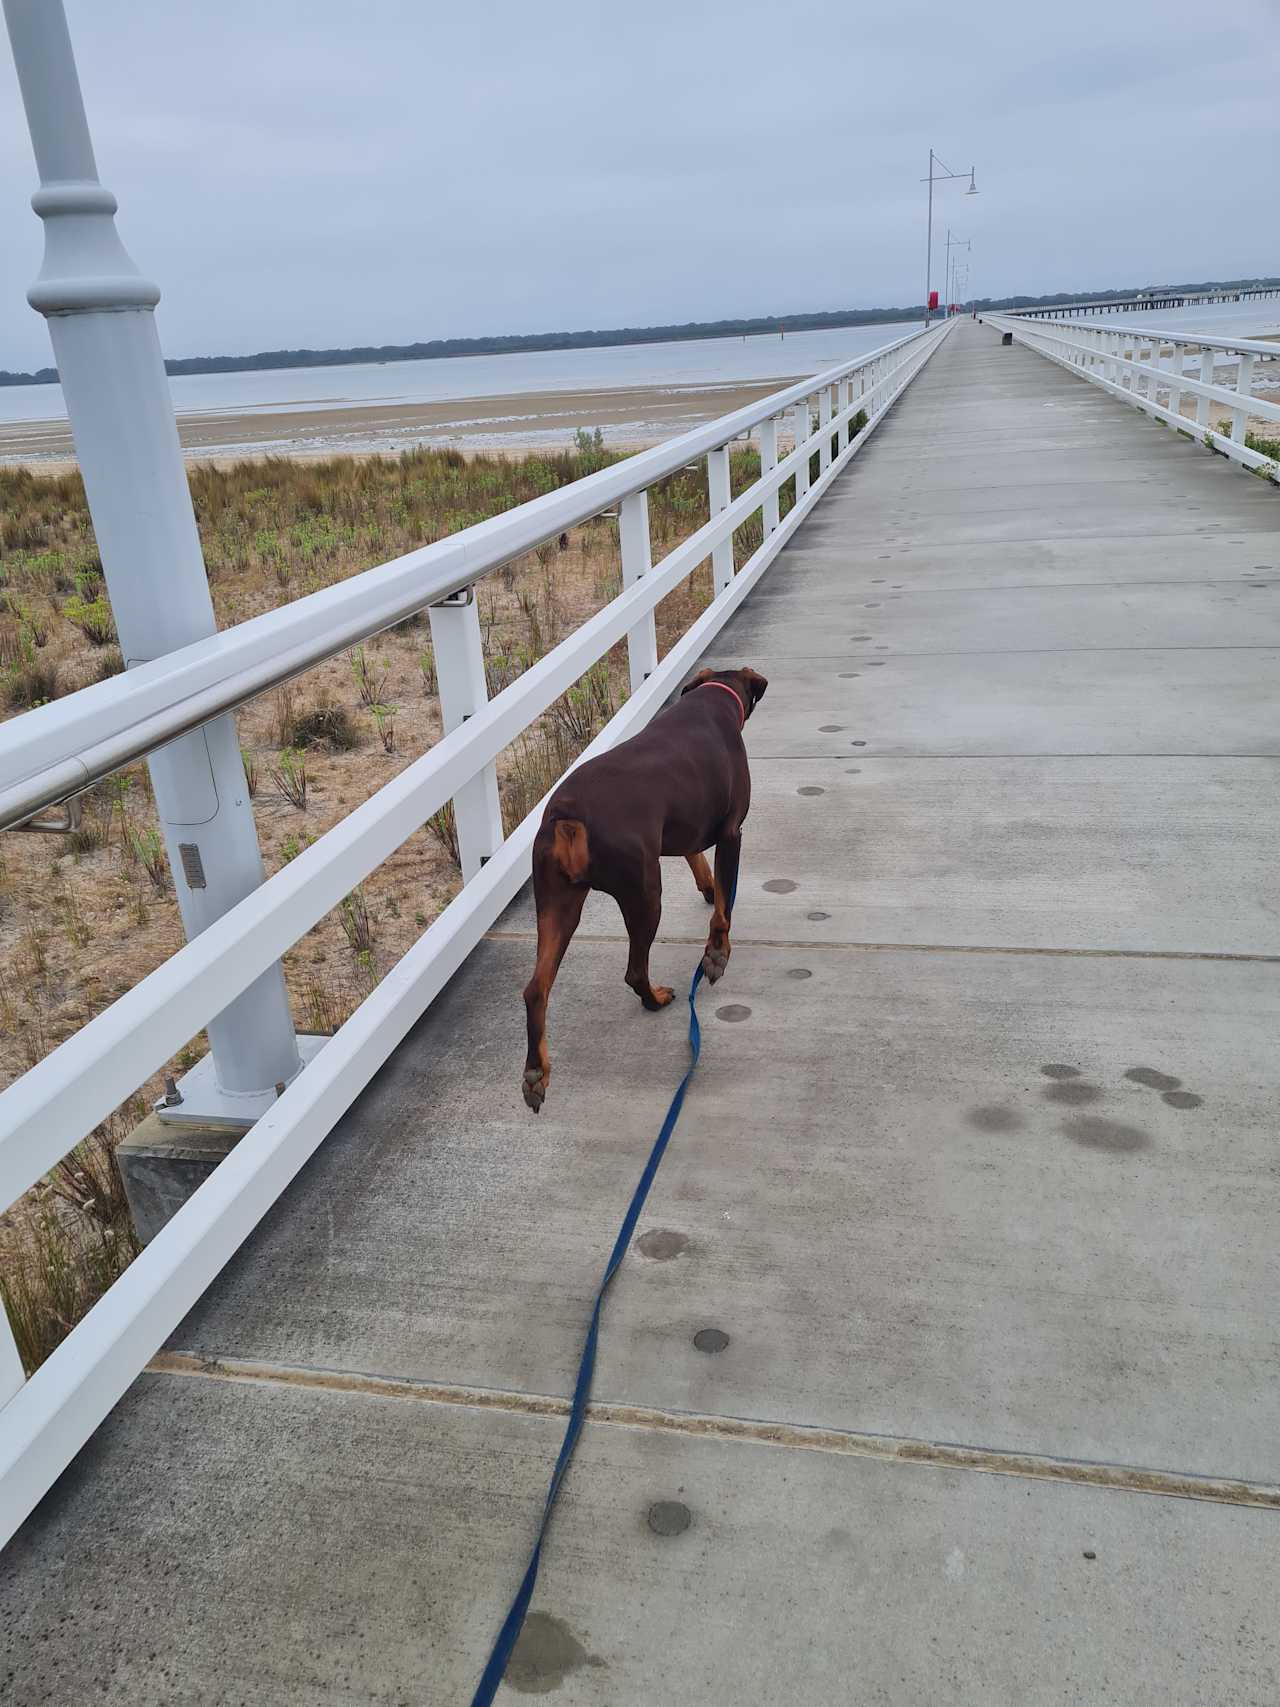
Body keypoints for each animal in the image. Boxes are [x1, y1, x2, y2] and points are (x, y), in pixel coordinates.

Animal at [522, 665, 768, 1119]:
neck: (715, 697)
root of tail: (568, 818)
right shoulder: (731, 832)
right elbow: (724, 909)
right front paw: (717, 954)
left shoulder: (687, 825)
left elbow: (696, 858)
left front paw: (707, 887)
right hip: (644, 892)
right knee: (635, 970)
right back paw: (655, 998)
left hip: (557, 904)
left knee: (536, 990)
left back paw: (535, 1075)